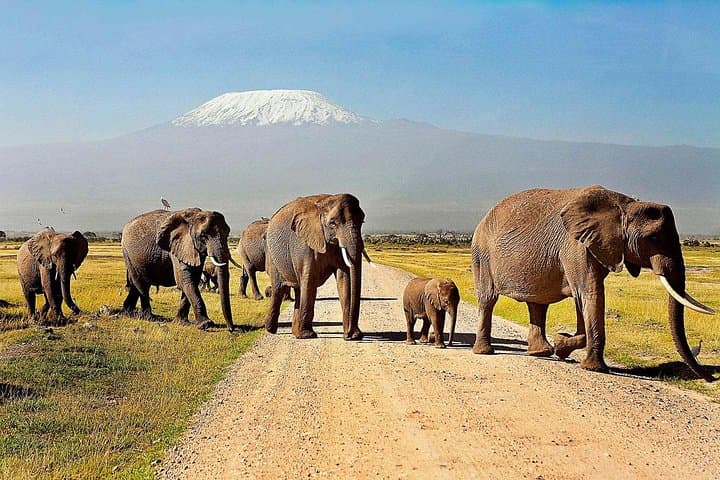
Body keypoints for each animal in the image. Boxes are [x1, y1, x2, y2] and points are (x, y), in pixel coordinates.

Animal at [264, 193, 366, 340]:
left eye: (362, 221)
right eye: (332, 223)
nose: (349, 334)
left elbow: (344, 278)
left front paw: (354, 336)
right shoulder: (303, 244)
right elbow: (309, 279)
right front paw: (308, 335)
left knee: (298, 289)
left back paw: (295, 332)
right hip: (273, 256)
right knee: (279, 290)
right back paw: (271, 330)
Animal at [470, 185, 715, 381]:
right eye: (653, 238)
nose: (711, 378)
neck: (625, 205)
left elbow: (585, 299)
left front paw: (562, 346)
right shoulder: (576, 247)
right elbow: (590, 294)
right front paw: (590, 366)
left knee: (538, 305)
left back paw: (541, 353)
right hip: (482, 256)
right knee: (488, 300)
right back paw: (485, 352)